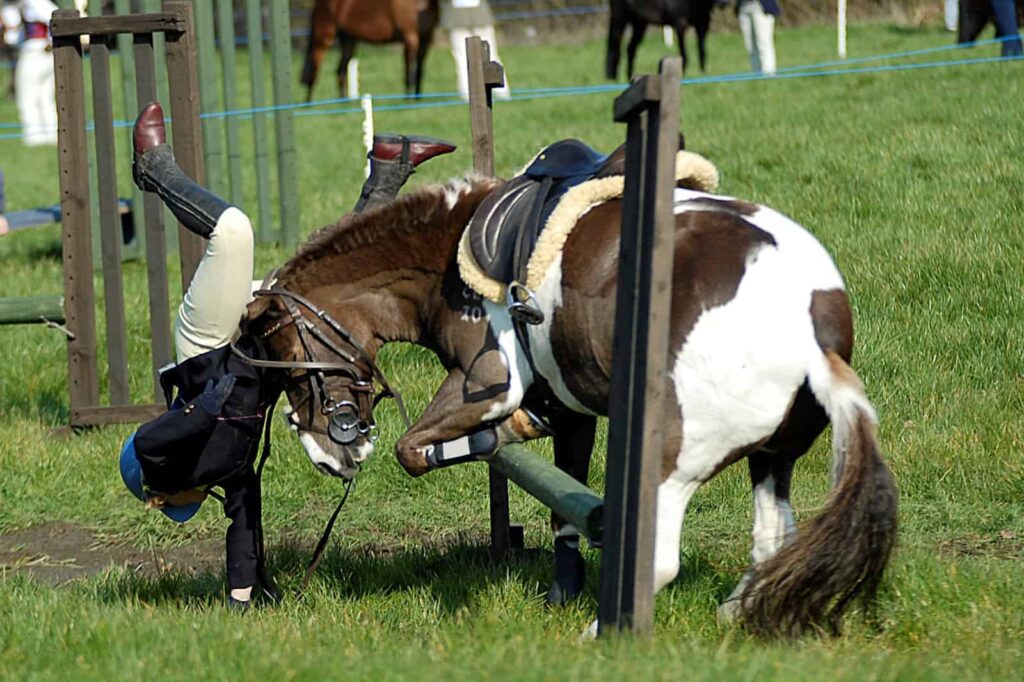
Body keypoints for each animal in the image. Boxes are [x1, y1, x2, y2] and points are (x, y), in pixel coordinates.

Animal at [243, 151, 901, 634]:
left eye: (288, 364)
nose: (329, 456)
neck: (445, 257)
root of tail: (814, 329)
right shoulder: (575, 404)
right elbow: (564, 497)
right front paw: (564, 584)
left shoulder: (486, 384)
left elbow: (419, 449)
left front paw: (507, 434)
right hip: (773, 456)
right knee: (770, 539)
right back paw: (735, 610)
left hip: (674, 455)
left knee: (661, 558)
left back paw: (606, 633)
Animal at [299, 0, 438, 100]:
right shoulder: (410, 38)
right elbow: (409, 72)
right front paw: (408, 101)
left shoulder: (426, 39)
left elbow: (419, 71)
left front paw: (418, 99)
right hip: (323, 39)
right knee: (314, 71)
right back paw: (309, 105)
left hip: (348, 41)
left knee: (340, 71)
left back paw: (344, 105)